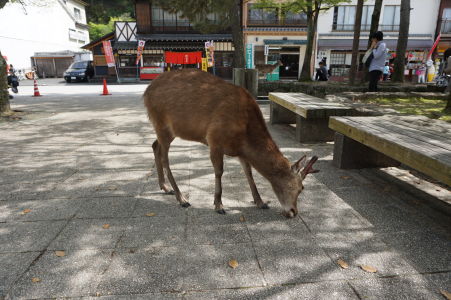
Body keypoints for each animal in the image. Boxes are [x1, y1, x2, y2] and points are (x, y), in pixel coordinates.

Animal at [144, 69, 318, 217]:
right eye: (300, 187)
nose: (293, 212)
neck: (244, 136)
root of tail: (146, 93)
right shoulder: (214, 140)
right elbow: (219, 172)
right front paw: (218, 205)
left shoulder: (241, 152)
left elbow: (249, 173)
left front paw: (260, 202)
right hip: (161, 123)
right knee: (165, 159)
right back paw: (182, 198)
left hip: (167, 130)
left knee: (155, 146)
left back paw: (165, 187)